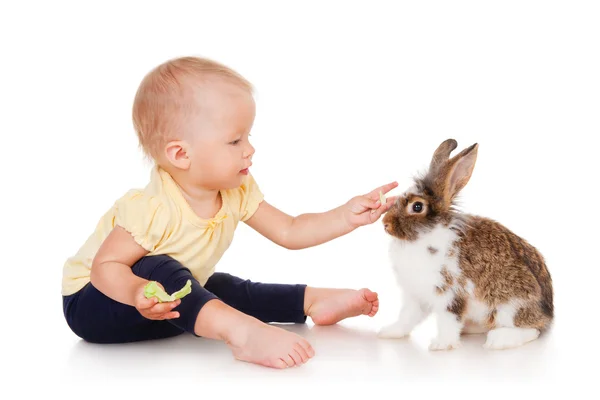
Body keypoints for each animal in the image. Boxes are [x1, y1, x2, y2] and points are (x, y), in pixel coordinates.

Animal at [380, 138, 552, 350]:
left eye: (417, 206)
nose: (385, 223)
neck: (425, 236)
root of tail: (548, 314)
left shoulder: (449, 293)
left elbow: (448, 319)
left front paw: (441, 345)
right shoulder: (416, 295)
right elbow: (406, 318)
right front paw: (388, 332)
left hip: (509, 306)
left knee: (533, 330)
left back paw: (498, 340)